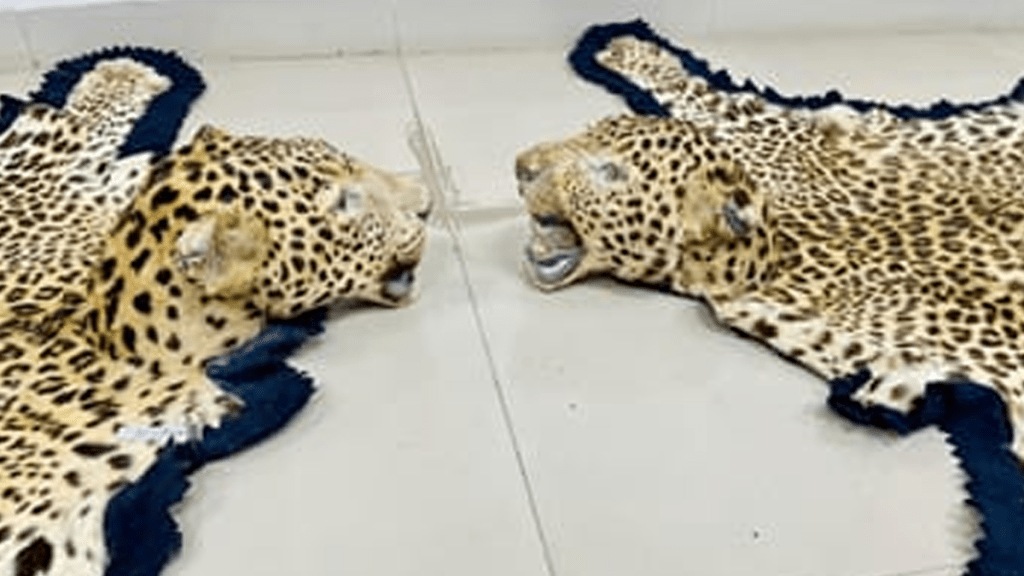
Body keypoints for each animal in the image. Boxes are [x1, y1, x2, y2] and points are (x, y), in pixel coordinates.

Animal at [516, 34, 1024, 467]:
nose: (519, 167)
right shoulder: (770, 156)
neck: (773, 252)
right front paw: (627, 46)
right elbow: (706, 100)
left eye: (611, 173)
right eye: (589, 131)